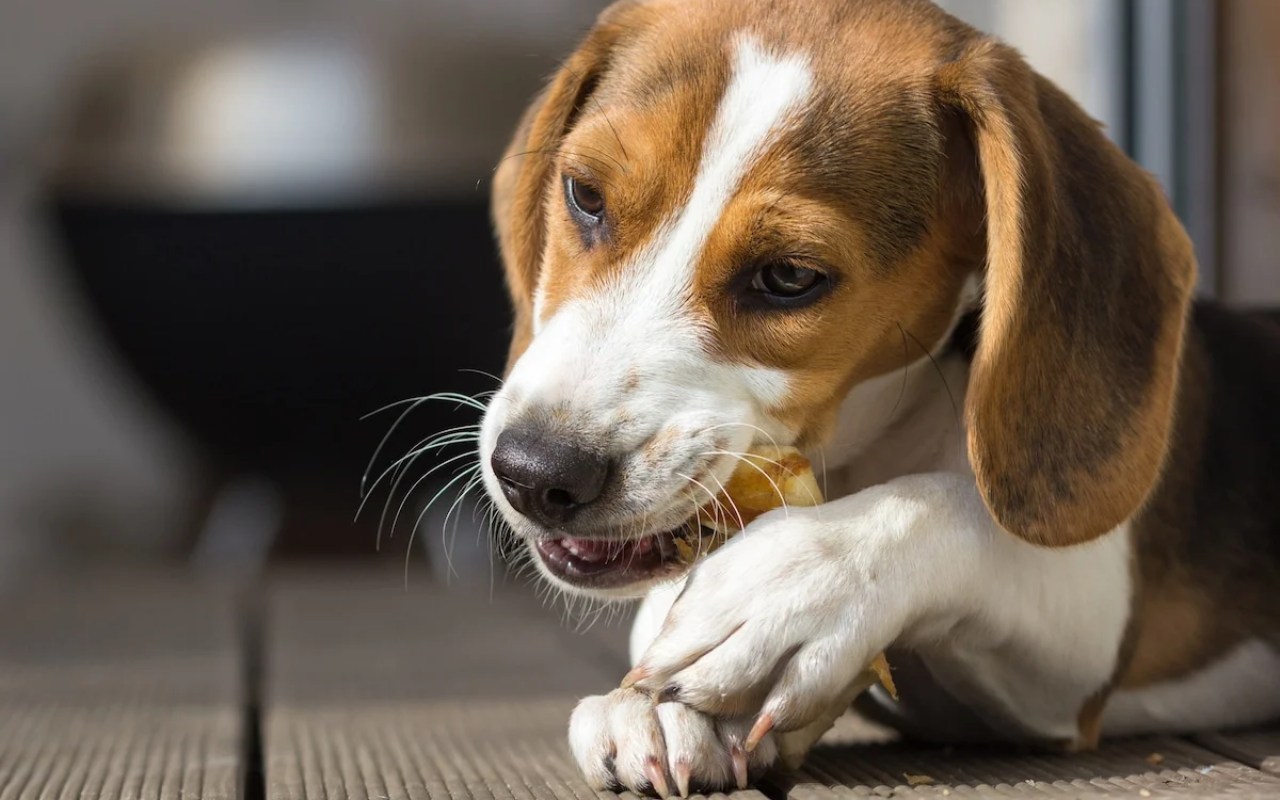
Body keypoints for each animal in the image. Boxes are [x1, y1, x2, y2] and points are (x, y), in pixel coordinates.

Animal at [478, 0, 1280, 793]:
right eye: (585, 196)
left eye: (790, 276)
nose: (536, 472)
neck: (864, 445)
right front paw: (653, 706)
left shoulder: (1086, 635)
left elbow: (954, 507)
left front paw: (786, 587)